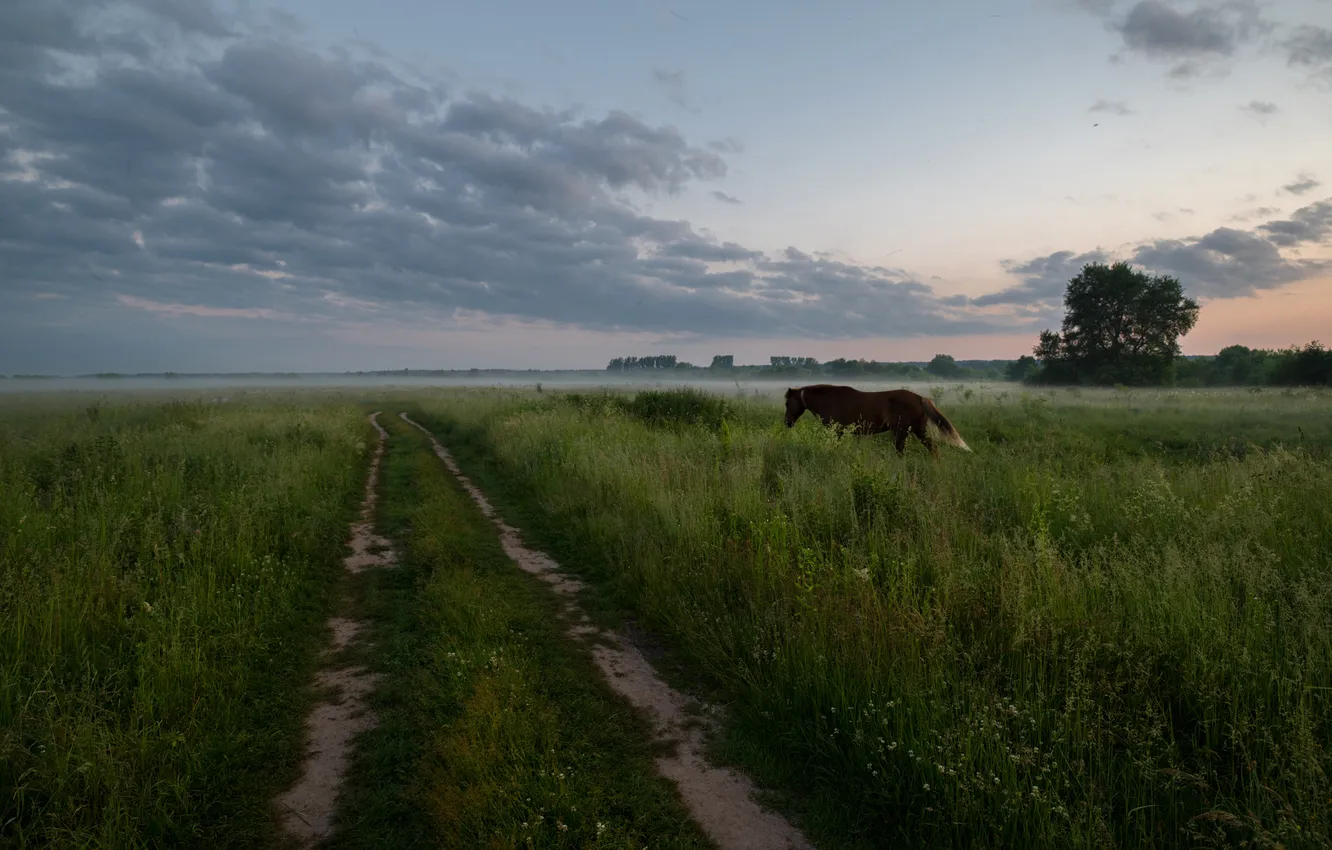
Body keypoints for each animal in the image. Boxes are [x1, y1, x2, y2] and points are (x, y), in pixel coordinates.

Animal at [783, 384, 971, 456]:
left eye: (787, 402)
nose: (787, 422)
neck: (830, 400)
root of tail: (920, 398)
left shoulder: (837, 431)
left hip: (901, 432)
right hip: (918, 430)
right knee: (933, 449)